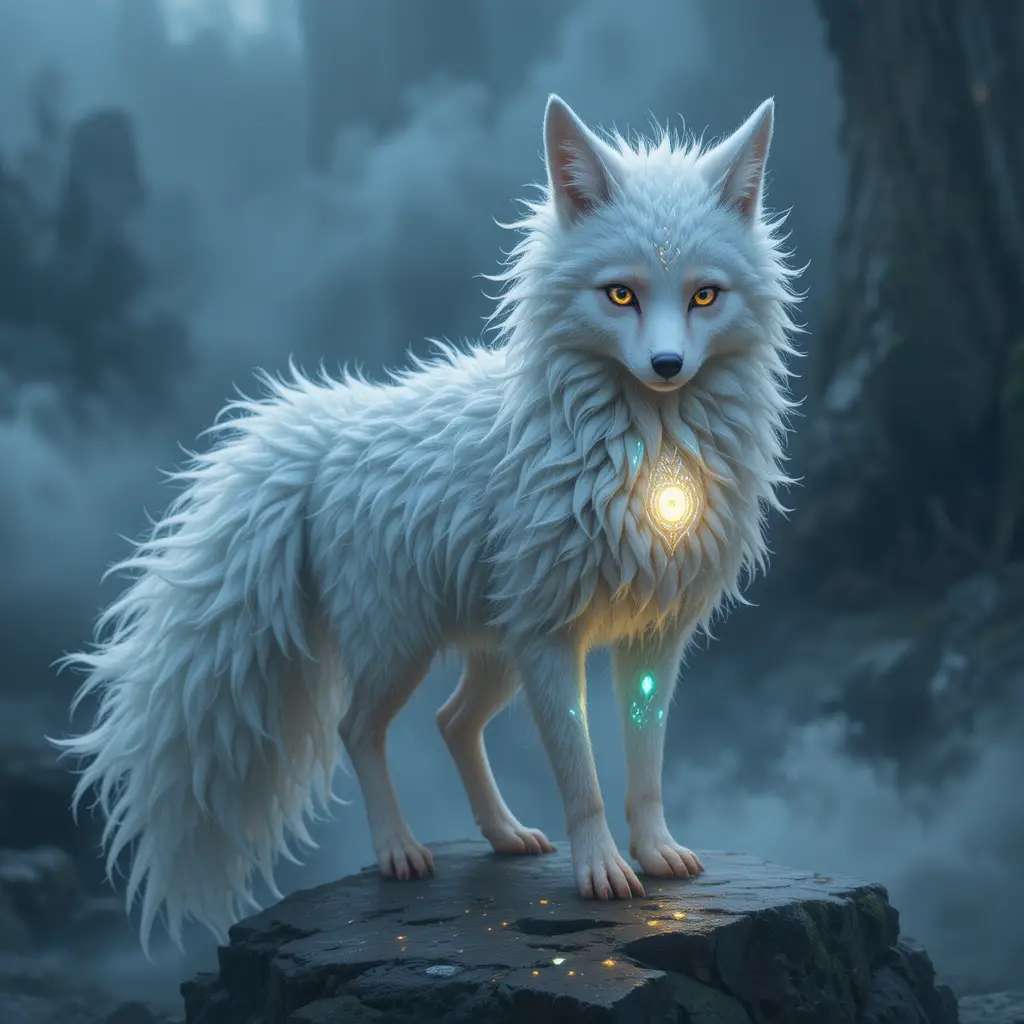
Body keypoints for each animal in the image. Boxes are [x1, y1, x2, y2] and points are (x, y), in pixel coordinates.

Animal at [54, 94, 801, 951]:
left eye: (705, 296)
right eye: (622, 296)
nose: (669, 367)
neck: (646, 453)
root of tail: (321, 433)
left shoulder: (652, 637)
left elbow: (643, 771)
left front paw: (655, 853)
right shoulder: (551, 637)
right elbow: (581, 778)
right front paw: (602, 873)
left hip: (493, 650)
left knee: (449, 722)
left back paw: (504, 835)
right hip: (404, 646)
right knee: (358, 729)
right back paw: (400, 852)